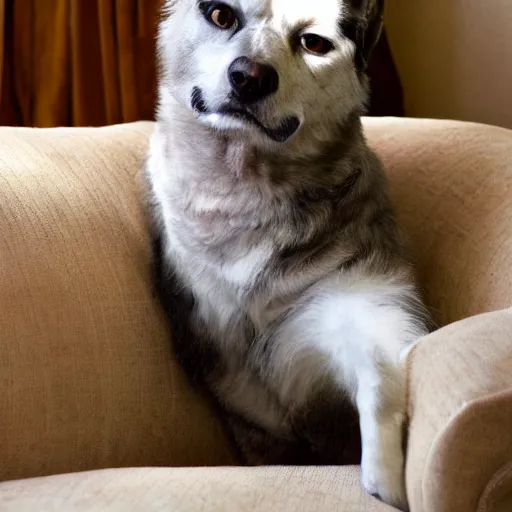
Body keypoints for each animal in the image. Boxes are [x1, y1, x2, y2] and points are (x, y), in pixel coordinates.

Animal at [145, 2, 432, 508]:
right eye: (220, 15)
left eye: (313, 42)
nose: (249, 76)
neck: (245, 181)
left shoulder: (356, 303)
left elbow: (379, 377)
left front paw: (386, 480)